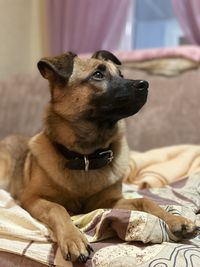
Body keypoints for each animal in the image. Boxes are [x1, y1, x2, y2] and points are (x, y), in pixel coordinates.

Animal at [0, 50, 198, 264]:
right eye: (98, 75)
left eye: (121, 74)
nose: (145, 84)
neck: (86, 157)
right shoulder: (32, 198)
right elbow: (58, 208)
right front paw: (73, 239)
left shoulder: (107, 203)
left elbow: (145, 201)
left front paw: (177, 220)